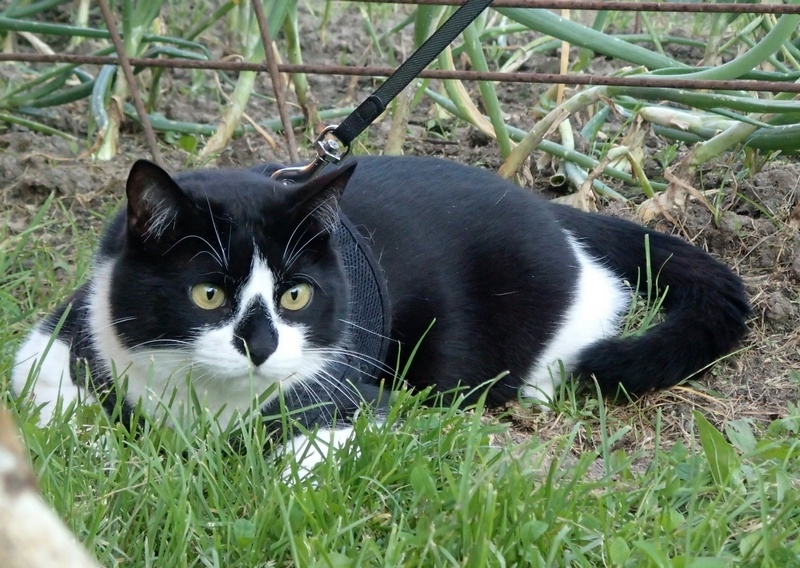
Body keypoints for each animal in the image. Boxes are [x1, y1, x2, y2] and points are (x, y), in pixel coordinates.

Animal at [10, 155, 752, 470]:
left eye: (296, 295)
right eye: (208, 295)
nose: (261, 345)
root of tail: (546, 207)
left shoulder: (350, 397)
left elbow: (304, 457)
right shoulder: (64, 336)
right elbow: (49, 405)